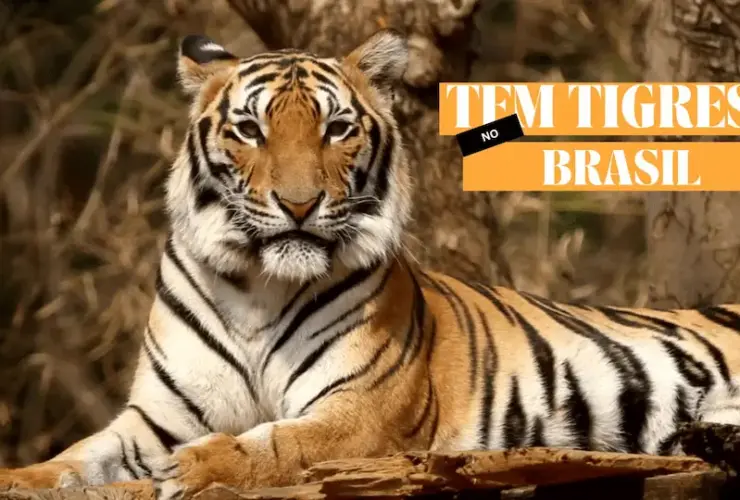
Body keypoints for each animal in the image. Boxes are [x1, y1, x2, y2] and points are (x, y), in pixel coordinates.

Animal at [1, 27, 740, 500]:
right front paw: (20, 477)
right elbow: (77, 456)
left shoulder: (361, 409)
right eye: (249, 130)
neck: (257, 285)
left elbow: (278, 443)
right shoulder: (156, 416)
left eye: (336, 129)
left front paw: (197, 469)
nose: (299, 204)